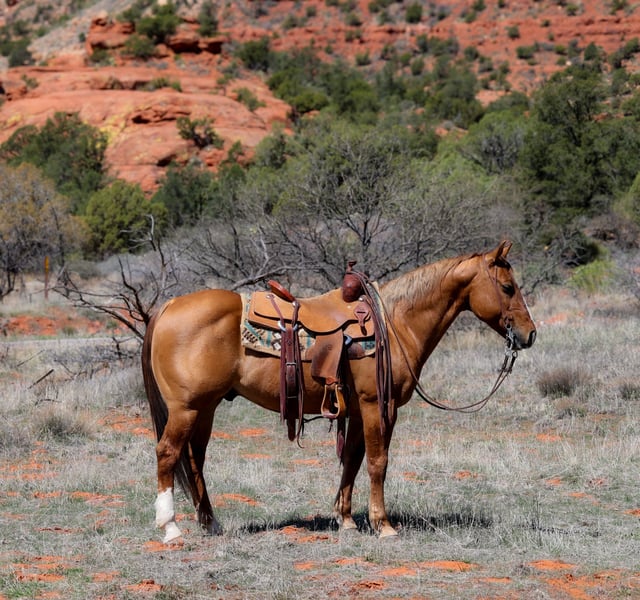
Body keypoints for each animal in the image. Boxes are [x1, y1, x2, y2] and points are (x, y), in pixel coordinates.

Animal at [141, 240, 536, 542]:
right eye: (507, 288)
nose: (529, 334)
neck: (396, 322)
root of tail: (168, 306)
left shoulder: (358, 410)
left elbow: (353, 460)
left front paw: (345, 519)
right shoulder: (379, 405)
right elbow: (378, 462)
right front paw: (383, 525)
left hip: (205, 408)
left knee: (194, 459)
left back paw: (210, 523)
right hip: (186, 408)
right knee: (167, 453)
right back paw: (171, 528)